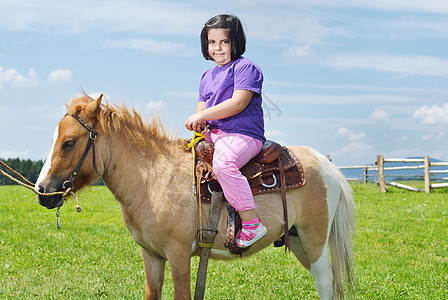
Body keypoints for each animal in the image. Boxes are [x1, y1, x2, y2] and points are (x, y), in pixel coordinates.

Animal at [35, 94, 356, 300]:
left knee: (325, 281)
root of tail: (327, 164)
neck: (153, 178)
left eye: (69, 142)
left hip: (314, 240)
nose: (42, 192)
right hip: (299, 241)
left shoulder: (178, 255)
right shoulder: (151, 255)